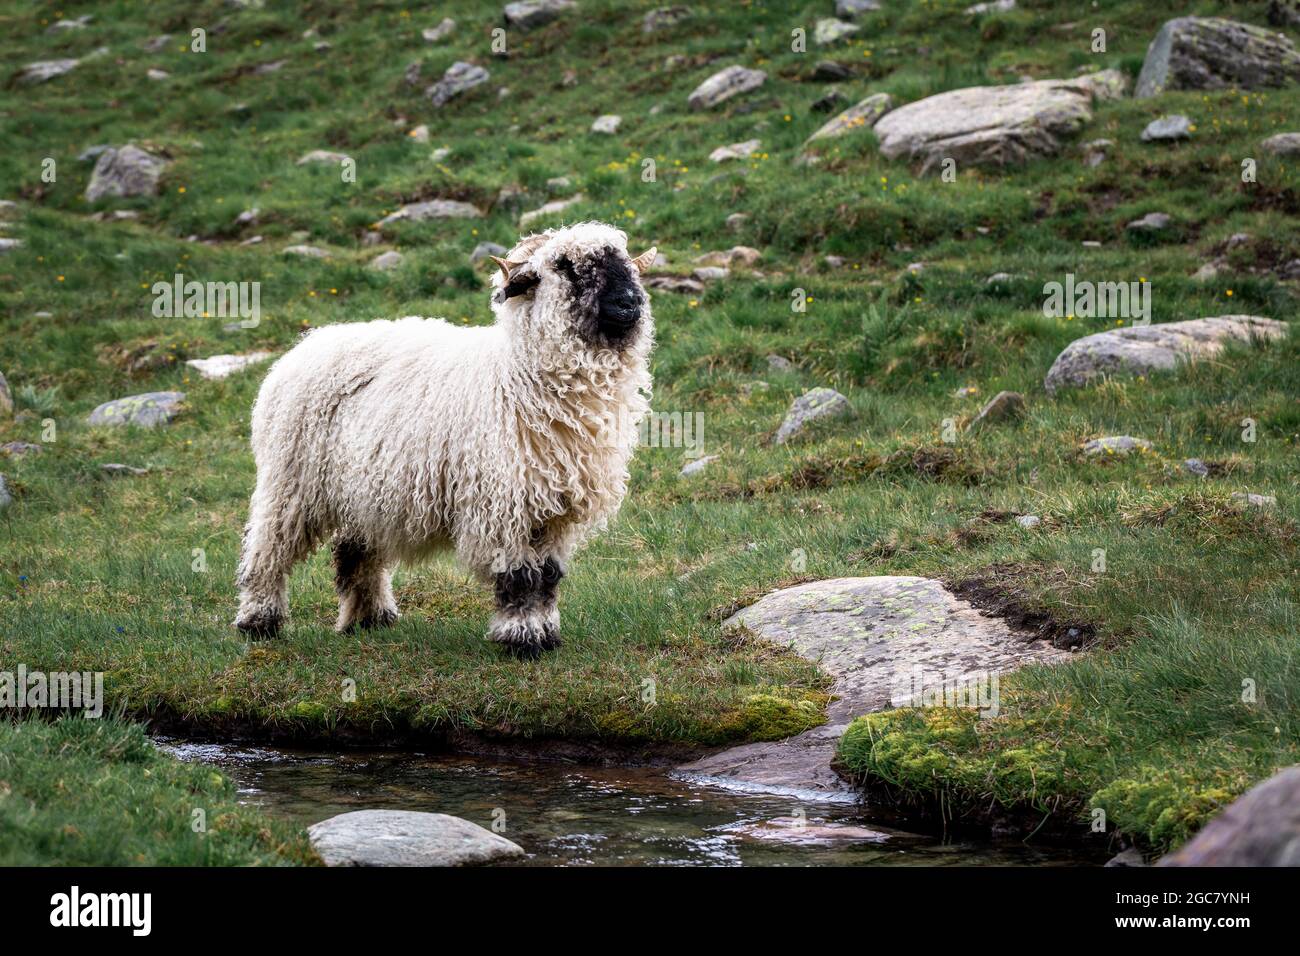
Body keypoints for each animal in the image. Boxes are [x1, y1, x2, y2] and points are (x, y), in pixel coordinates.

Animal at [232, 222, 655, 658]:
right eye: (565, 266)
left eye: (624, 262)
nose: (628, 302)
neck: (518, 376)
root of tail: (306, 345)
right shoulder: (503, 506)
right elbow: (521, 577)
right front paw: (521, 639)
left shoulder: (555, 511)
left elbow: (548, 576)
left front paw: (546, 634)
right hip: (291, 483)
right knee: (267, 548)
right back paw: (258, 621)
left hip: (364, 489)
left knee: (354, 551)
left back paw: (369, 619)